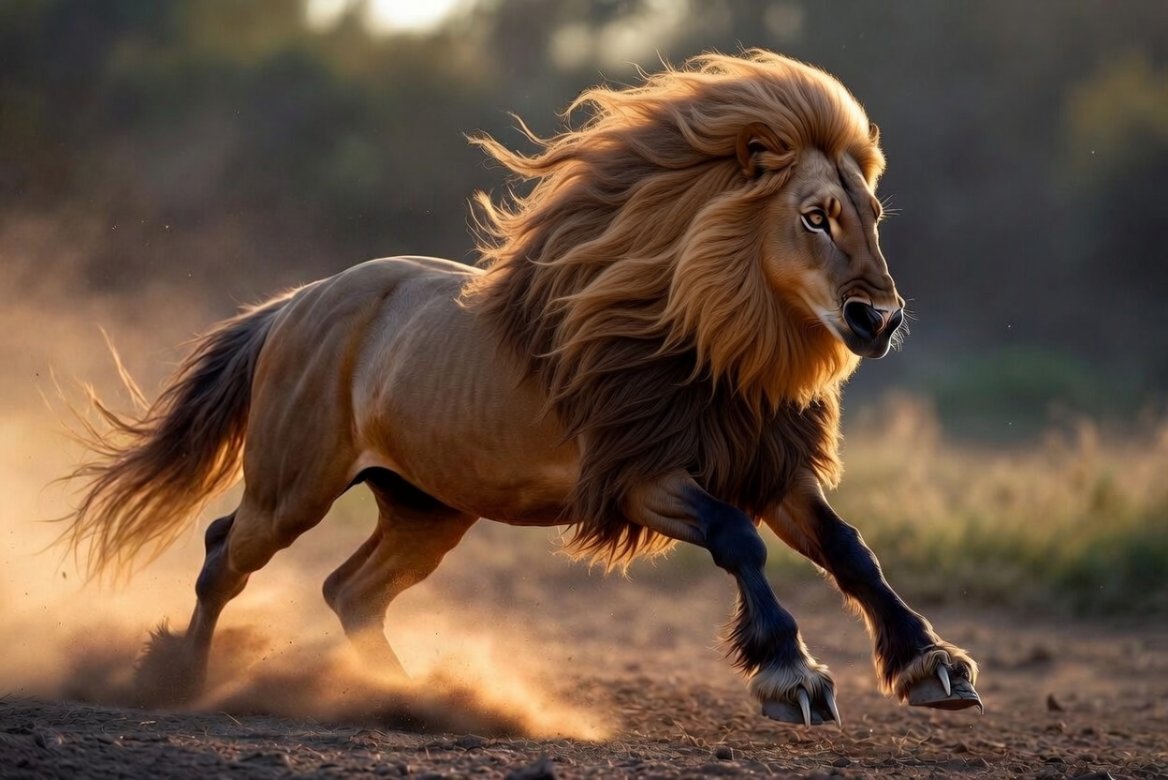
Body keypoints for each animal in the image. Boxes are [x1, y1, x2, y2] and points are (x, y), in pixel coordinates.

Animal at [68, 50, 981, 727]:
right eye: (815, 216)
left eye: (872, 216)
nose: (879, 318)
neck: (719, 350)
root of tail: (298, 302)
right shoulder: (639, 476)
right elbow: (738, 541)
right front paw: (791, 675)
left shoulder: (769, 470)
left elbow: (850, 549)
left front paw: (935, 669)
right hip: (294, 487)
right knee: (224, 551)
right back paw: (177, 681)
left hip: (427, 507)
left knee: (349, 591)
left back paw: (409, 699)